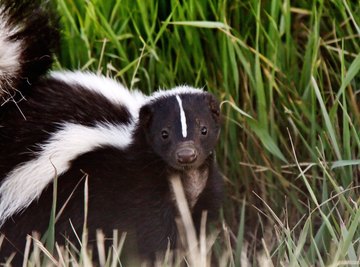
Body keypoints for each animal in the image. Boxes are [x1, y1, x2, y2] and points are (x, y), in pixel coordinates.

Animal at [0, 0, 222, 264]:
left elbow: (201, 230)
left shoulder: (202, 193)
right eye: (164, 134)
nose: (186, 155)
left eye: (204, 129)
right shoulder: (138, 190)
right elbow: (154, 237)